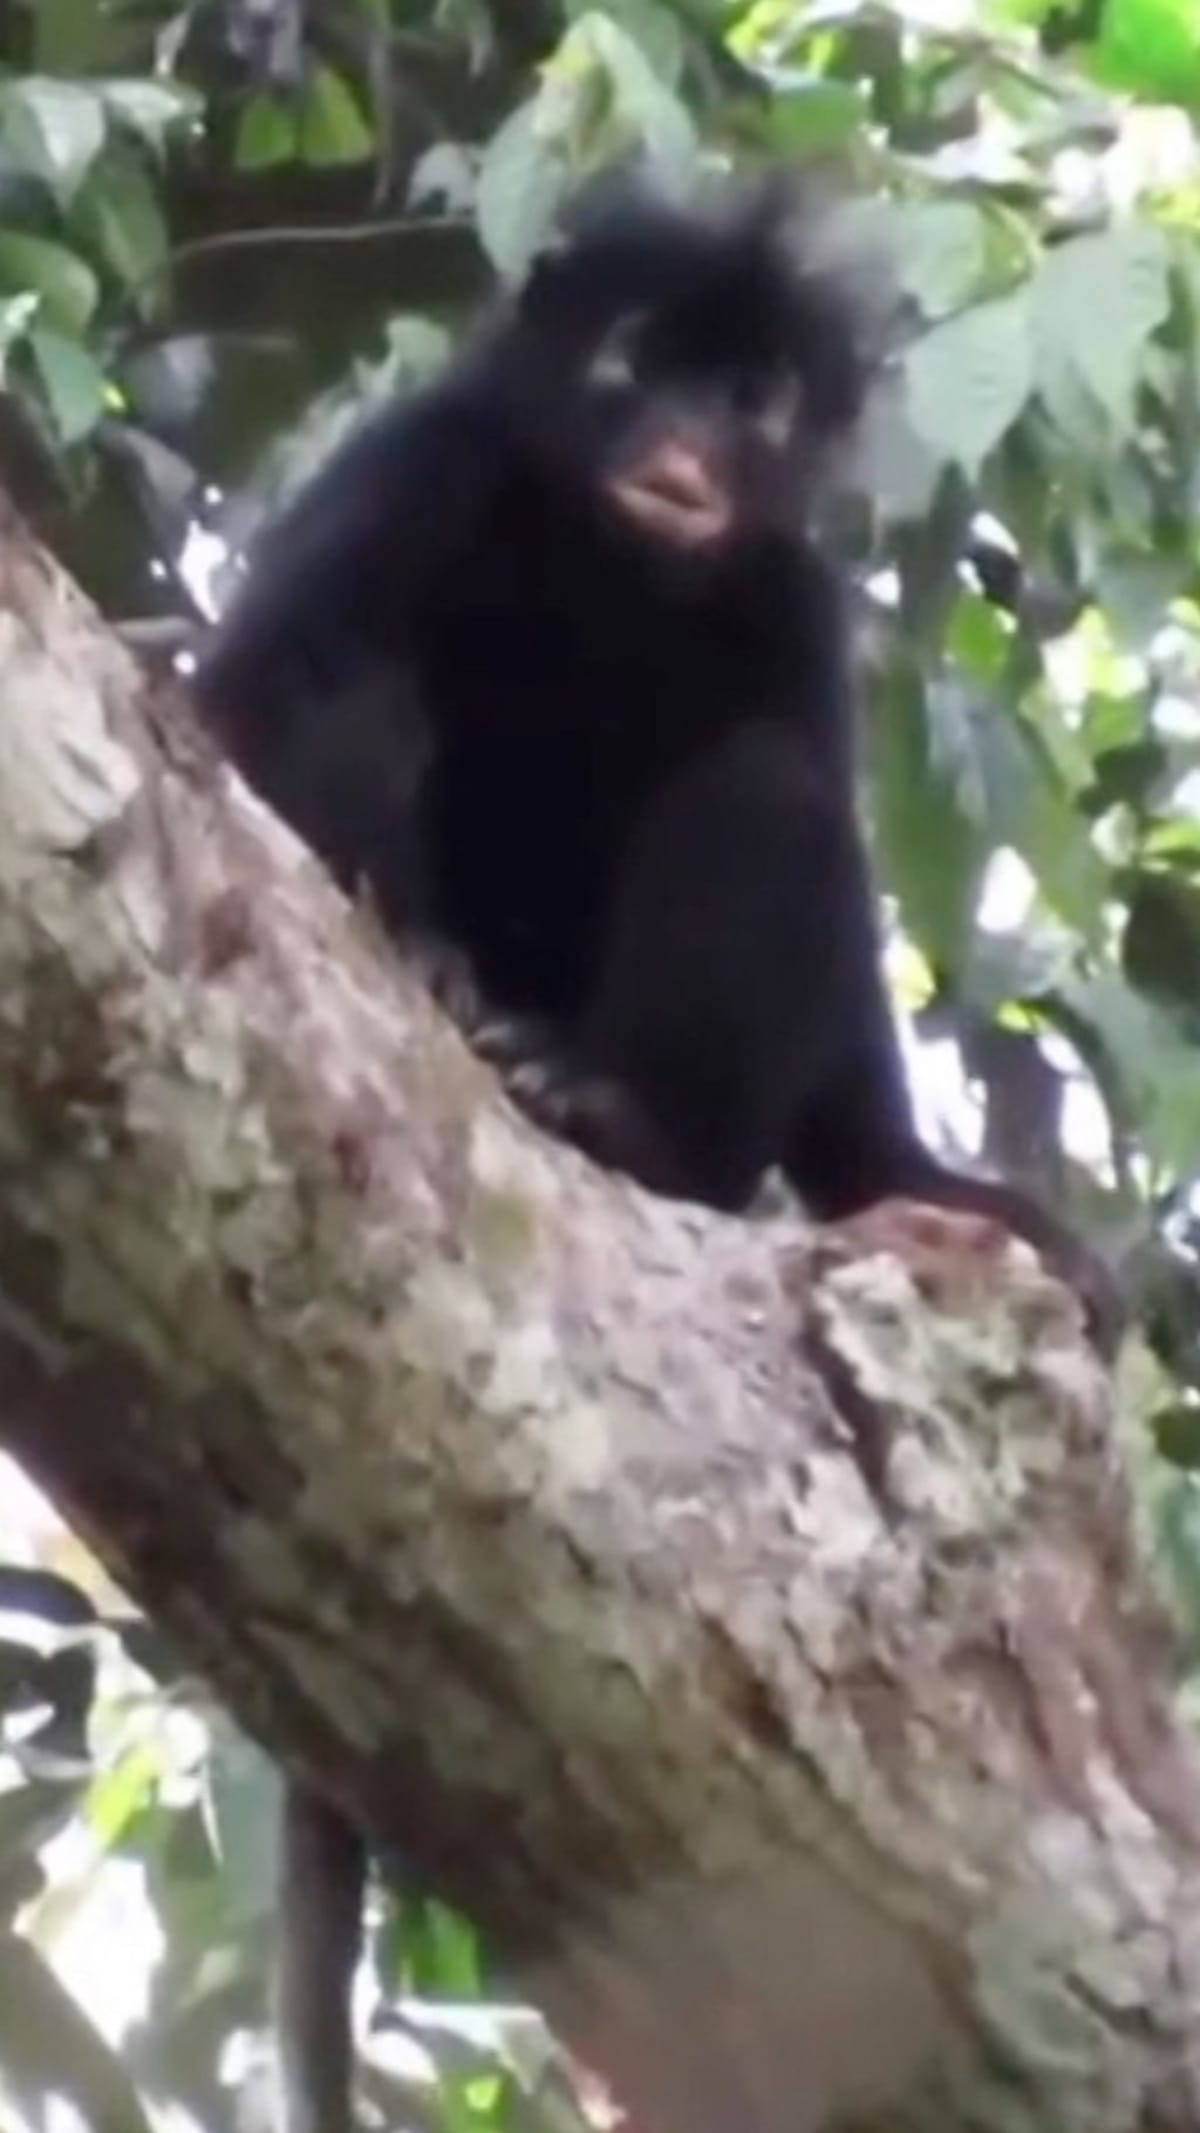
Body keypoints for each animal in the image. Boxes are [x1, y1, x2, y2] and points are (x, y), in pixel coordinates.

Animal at [193, 163, 1123, 2133]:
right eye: (639, 364)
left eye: (751, 399)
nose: (690, 447)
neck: (616, 568)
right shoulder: (416, 458)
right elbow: (248, 694)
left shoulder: (790, 595)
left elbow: (837, 1010)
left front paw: (932, 1183)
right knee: (349, 672)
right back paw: (442, 980)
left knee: (766, 799)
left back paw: (602, 1108)